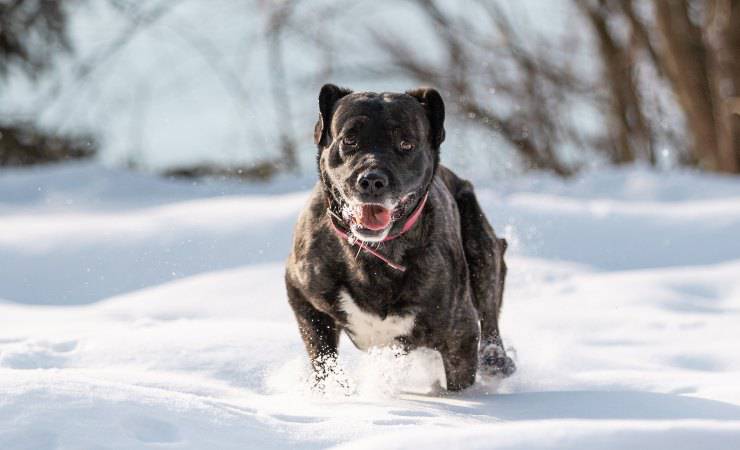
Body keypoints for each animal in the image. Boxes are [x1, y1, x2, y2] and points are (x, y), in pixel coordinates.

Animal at [284, 84, 516, 390]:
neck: (376, 254)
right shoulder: (303, 296)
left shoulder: (459, 335)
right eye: (349, 139)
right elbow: (323, 358)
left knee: (489, 309)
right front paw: (332, 394)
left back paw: (496, 359)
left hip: (482, 247)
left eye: (406, 144)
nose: (371, 180)